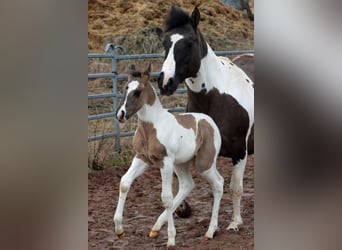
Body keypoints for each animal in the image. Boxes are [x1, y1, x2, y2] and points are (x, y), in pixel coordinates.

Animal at [113, 64, 223, 246]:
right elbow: (124, 183)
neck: (152, 127)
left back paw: (210, 231)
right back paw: (155, 228)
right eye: (126, 88)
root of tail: (210, 122)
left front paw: (171, 239)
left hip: (204, 163)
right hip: (180, 164)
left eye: (137, 92)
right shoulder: (141, 158)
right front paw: (119, 230)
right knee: (187, 185)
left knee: (218, 184)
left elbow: (166, 198)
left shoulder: (165, 162)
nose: (120, 115)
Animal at [158, 5, 254, 232]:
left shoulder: (240, 151)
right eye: (165, 43)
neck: (216, 97)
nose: (165, 82)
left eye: (189, 42)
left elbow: (235, 187)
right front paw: (183, 209)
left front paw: (235, 222)